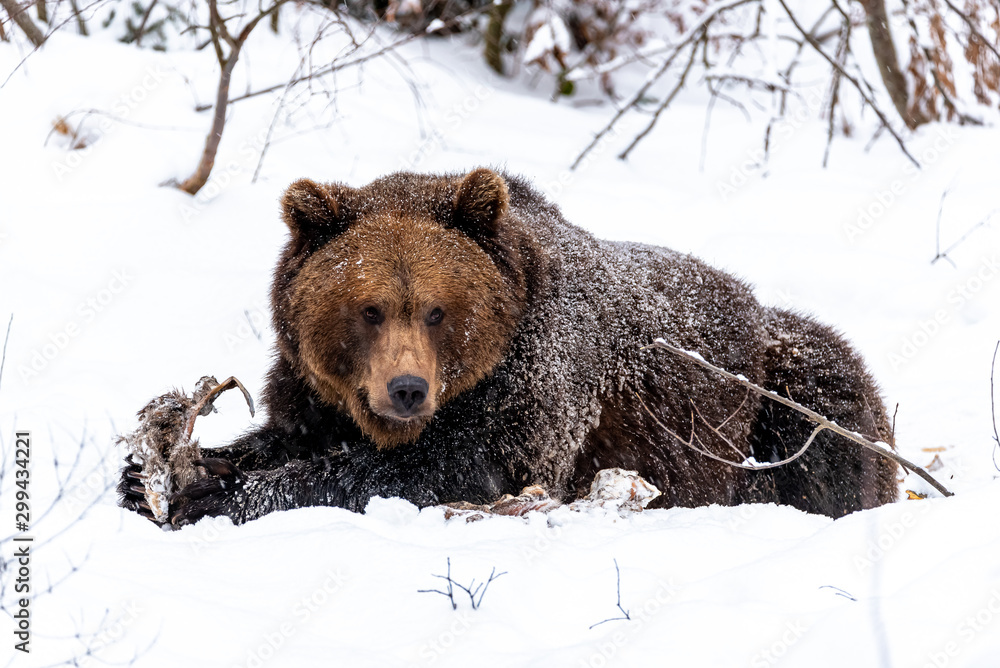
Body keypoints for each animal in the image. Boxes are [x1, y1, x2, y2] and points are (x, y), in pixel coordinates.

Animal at [119, 168, 898, 526]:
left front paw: (210, 494)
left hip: (770, 384)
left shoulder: (537, 385)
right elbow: (287, 433)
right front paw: (154, 475)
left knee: (825, 426)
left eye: (436, 310)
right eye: (368, 309)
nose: (407, 390)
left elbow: (452, 467)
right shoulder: (321, 391)